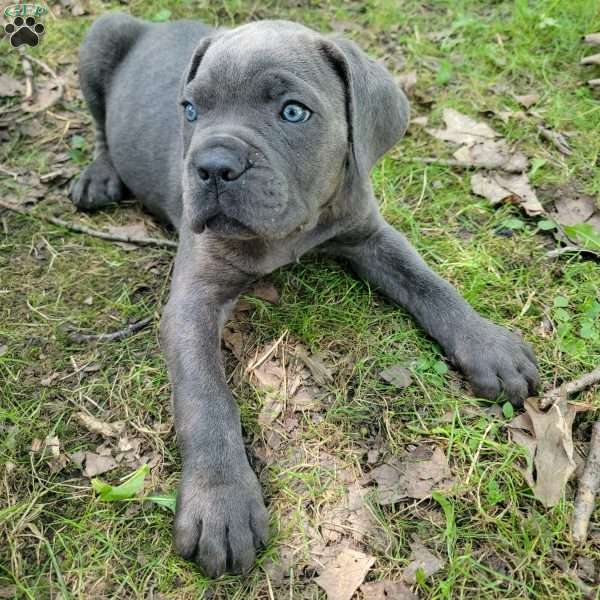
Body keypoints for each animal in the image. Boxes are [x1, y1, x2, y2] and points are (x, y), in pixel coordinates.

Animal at [70, 12, 540, 576]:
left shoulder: (371, 235)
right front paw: (220, 501)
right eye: (190, 110)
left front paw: (489, 346)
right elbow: (205, 398)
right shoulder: (192, 302)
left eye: (293, 112)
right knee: (100, 128)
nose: (213, 166)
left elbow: (432, 284)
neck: (292, 231)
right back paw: (99, 176)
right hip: (101, 35)